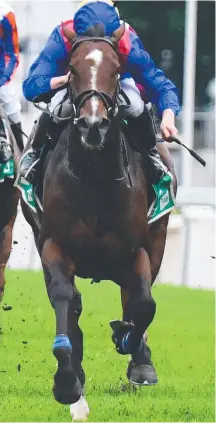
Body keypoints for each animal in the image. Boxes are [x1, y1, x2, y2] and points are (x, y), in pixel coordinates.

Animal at [21, 23, 177, 420]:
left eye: (117, 70)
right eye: (72, 70)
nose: (93, 125)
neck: (93, 177)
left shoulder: (137, 249)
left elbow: (144, 304)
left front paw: (132, 348)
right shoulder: (54, 245)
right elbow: (65, 300)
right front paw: (67, 382)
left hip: (158, 237)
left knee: (134, 298)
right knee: (72, 303)